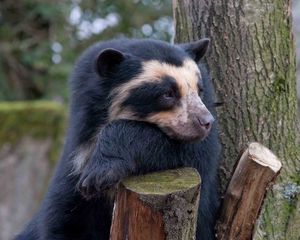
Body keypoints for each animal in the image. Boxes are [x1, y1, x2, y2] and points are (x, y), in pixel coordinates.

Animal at [15, 38, 220, 239]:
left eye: (199, 90)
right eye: (167, 93)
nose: (206, 122)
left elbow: (194, 154)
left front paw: (98, 175)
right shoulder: (75, 161)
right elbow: (63, 219)